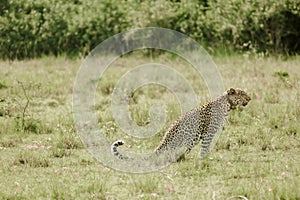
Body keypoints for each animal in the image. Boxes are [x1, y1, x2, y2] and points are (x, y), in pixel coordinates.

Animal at [110, 87, 251, 161]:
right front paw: (204, 159)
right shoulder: (208, 133)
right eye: (243, 94)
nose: (250, 98)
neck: (227, 105)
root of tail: (163, 143)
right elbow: (205, 147)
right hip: (189, 140)